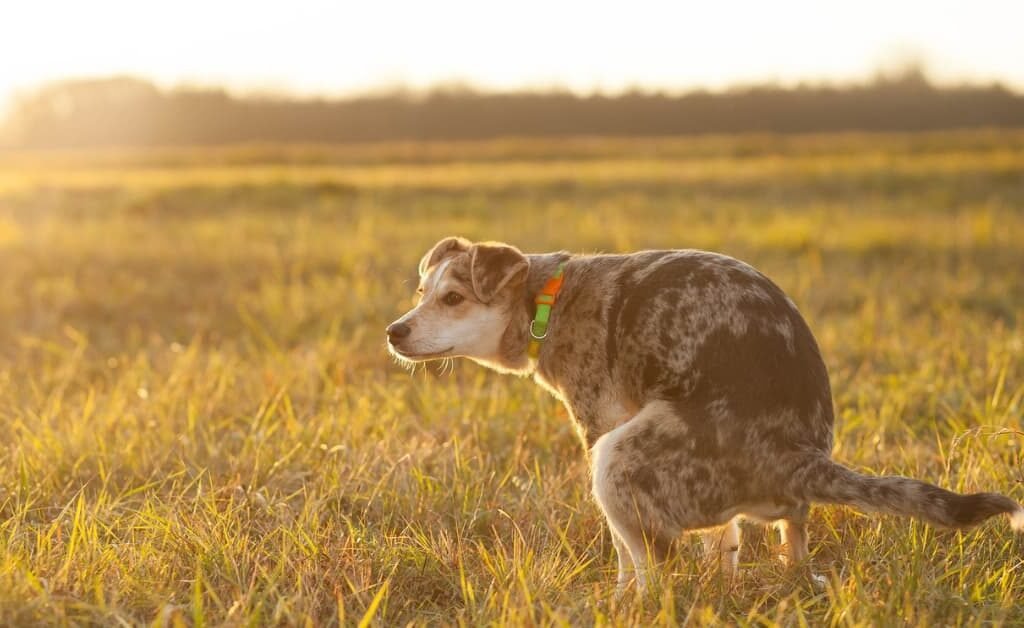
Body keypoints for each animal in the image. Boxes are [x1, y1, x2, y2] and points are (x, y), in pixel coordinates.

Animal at [385, 236, 1024, 594]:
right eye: (420, 292)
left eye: (453, 299)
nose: (394, 331)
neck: (548, 299)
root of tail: (799, 457)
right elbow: (726, 541)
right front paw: (724, 579)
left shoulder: (599, 425)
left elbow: (626, 553)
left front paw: (621, 597)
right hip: (764, 503)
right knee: (791, 536)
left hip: (617, 457)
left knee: (656, 566)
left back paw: (639, 602)